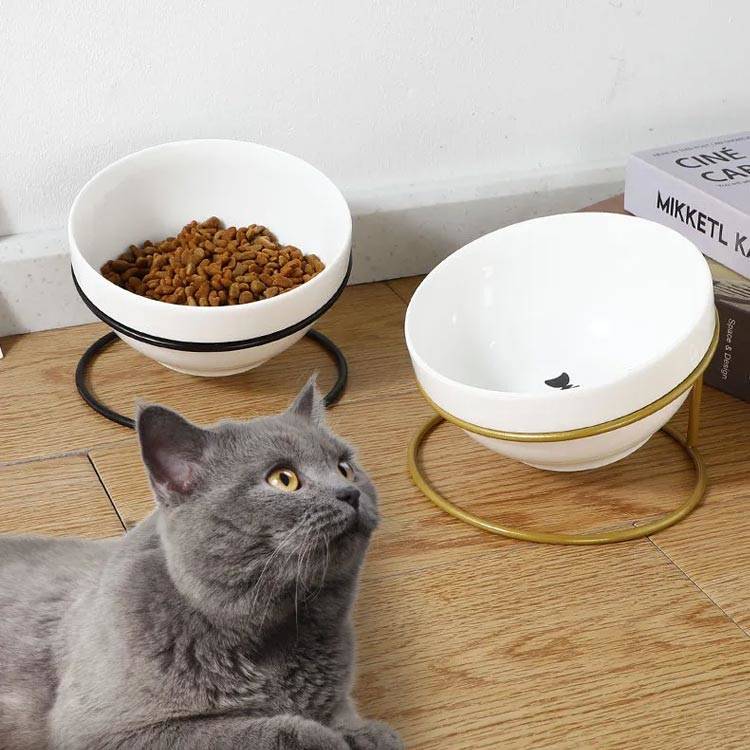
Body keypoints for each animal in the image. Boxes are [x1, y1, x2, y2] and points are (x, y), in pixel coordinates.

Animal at [0, 377, 403, 750]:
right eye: (283, 479)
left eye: (345, 467)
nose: (350, 493)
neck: (277, 632)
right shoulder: (103, 731)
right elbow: (251, 731)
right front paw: (326, 738)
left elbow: (349, 717)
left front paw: (366, 735)